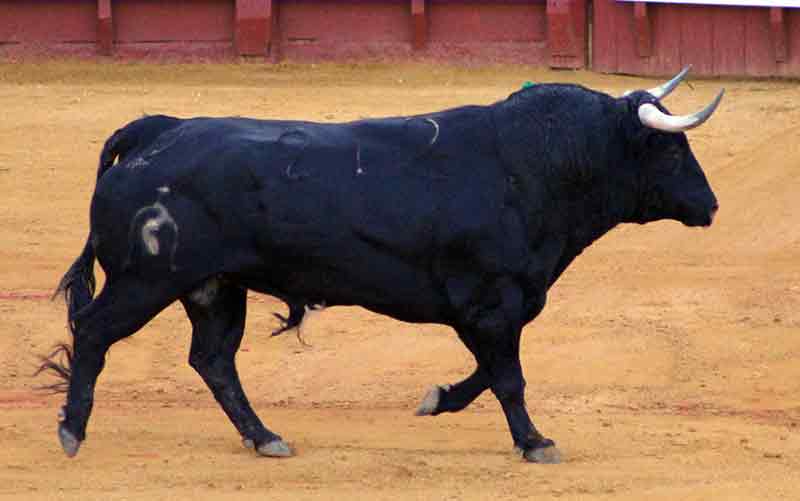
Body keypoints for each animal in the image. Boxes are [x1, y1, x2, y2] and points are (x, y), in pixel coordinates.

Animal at [40, 73, 720, 460]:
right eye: (672, 149)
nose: (711, 205)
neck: (535, 167)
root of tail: (157, 131)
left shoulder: (492, 308)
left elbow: (487, 373)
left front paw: (436, 400)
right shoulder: (491, 301)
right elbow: (508, 377)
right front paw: (534, 442)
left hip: (214, 288)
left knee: (213, 361)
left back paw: (265, 438)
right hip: (147, 280)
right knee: (95, 331)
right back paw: (72, 431)